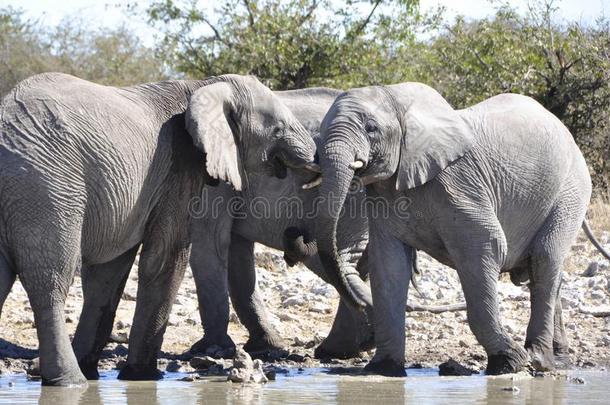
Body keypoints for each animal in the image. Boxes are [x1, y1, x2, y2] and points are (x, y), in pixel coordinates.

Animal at [0, 72, 314, 386]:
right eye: (278, 129)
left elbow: (108, 274)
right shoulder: (179, 163)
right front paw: (143, 376)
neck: (205, 86)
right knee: (51, 282)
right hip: (47, 189)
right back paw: (69, 381)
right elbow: (166, 256)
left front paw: (97, 370)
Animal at [188, 87, 372, 358]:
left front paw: (209, 349)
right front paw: (264, 346)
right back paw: (344, 348)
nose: (294, 234)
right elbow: (236, 255)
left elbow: (209, 245)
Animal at [306, 82, 608, 376]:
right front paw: (383, 370)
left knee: (545, 260)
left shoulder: (460, 186)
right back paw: (558, 361)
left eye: (371, 128)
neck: (397, 97)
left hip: (570, 191)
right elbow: (389, 265)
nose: (358, 306)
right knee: (546, 271)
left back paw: (538, 359)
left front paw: (508, 362)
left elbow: (486, 247)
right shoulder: (383, 197)